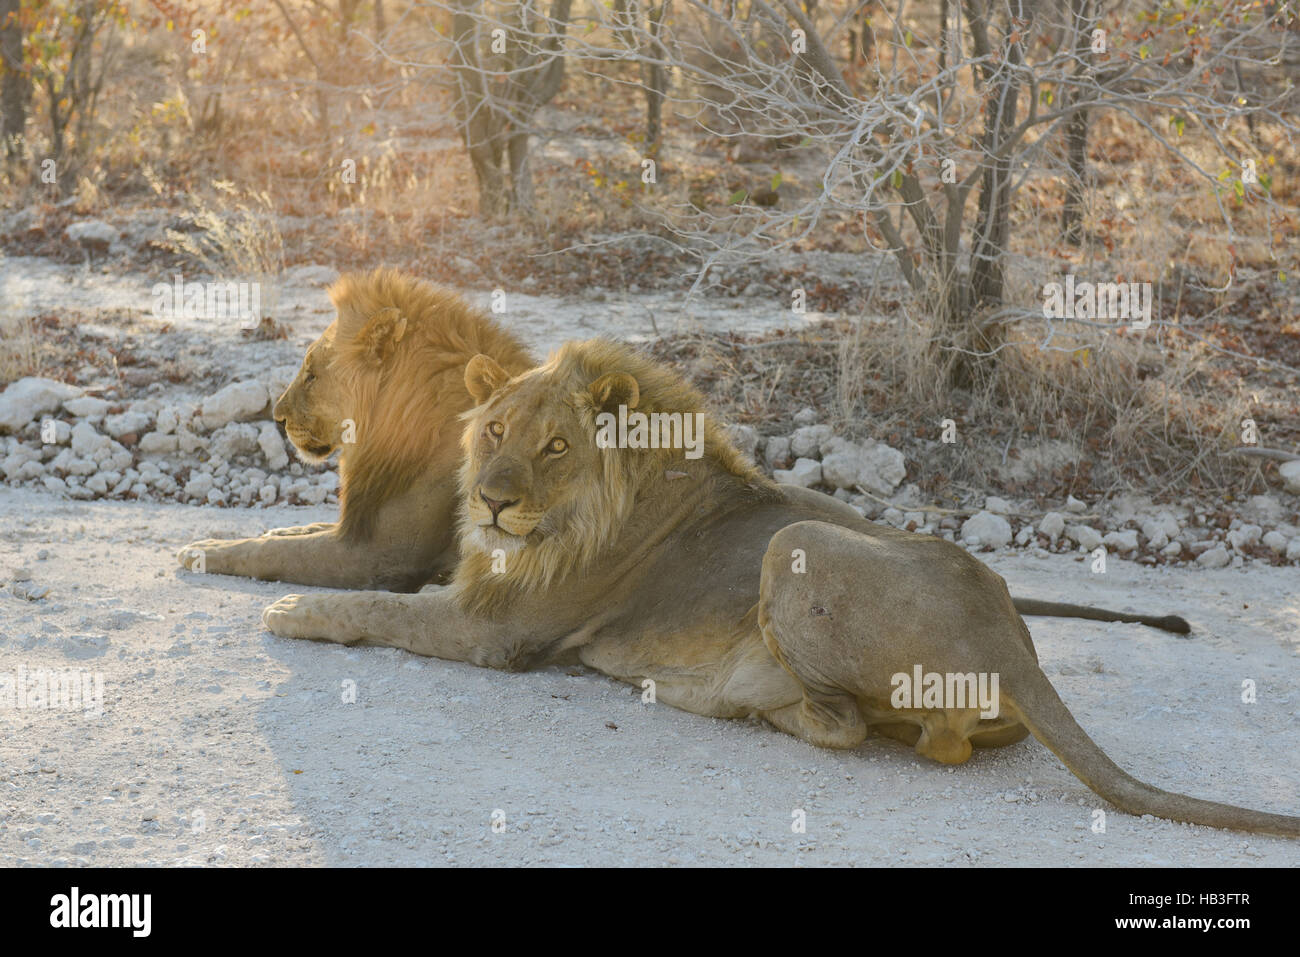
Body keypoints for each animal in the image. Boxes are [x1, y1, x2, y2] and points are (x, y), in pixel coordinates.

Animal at [178, 265, 533, 587]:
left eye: (311, 375)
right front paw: (280, 529)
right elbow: (300, 533)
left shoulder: (381, 554)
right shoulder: (361, 525)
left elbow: (270, 552)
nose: (278, 417)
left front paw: (203, 549)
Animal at [263, 340, 1300, 832]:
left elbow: (377, 607)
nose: (490, 498)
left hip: (798, 542)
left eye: (554, 445)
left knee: (875, 733)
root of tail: (1015, 644)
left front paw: (290, 607)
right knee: (939, 740)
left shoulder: (499, 633)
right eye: (491, 431)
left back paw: (734, 700)